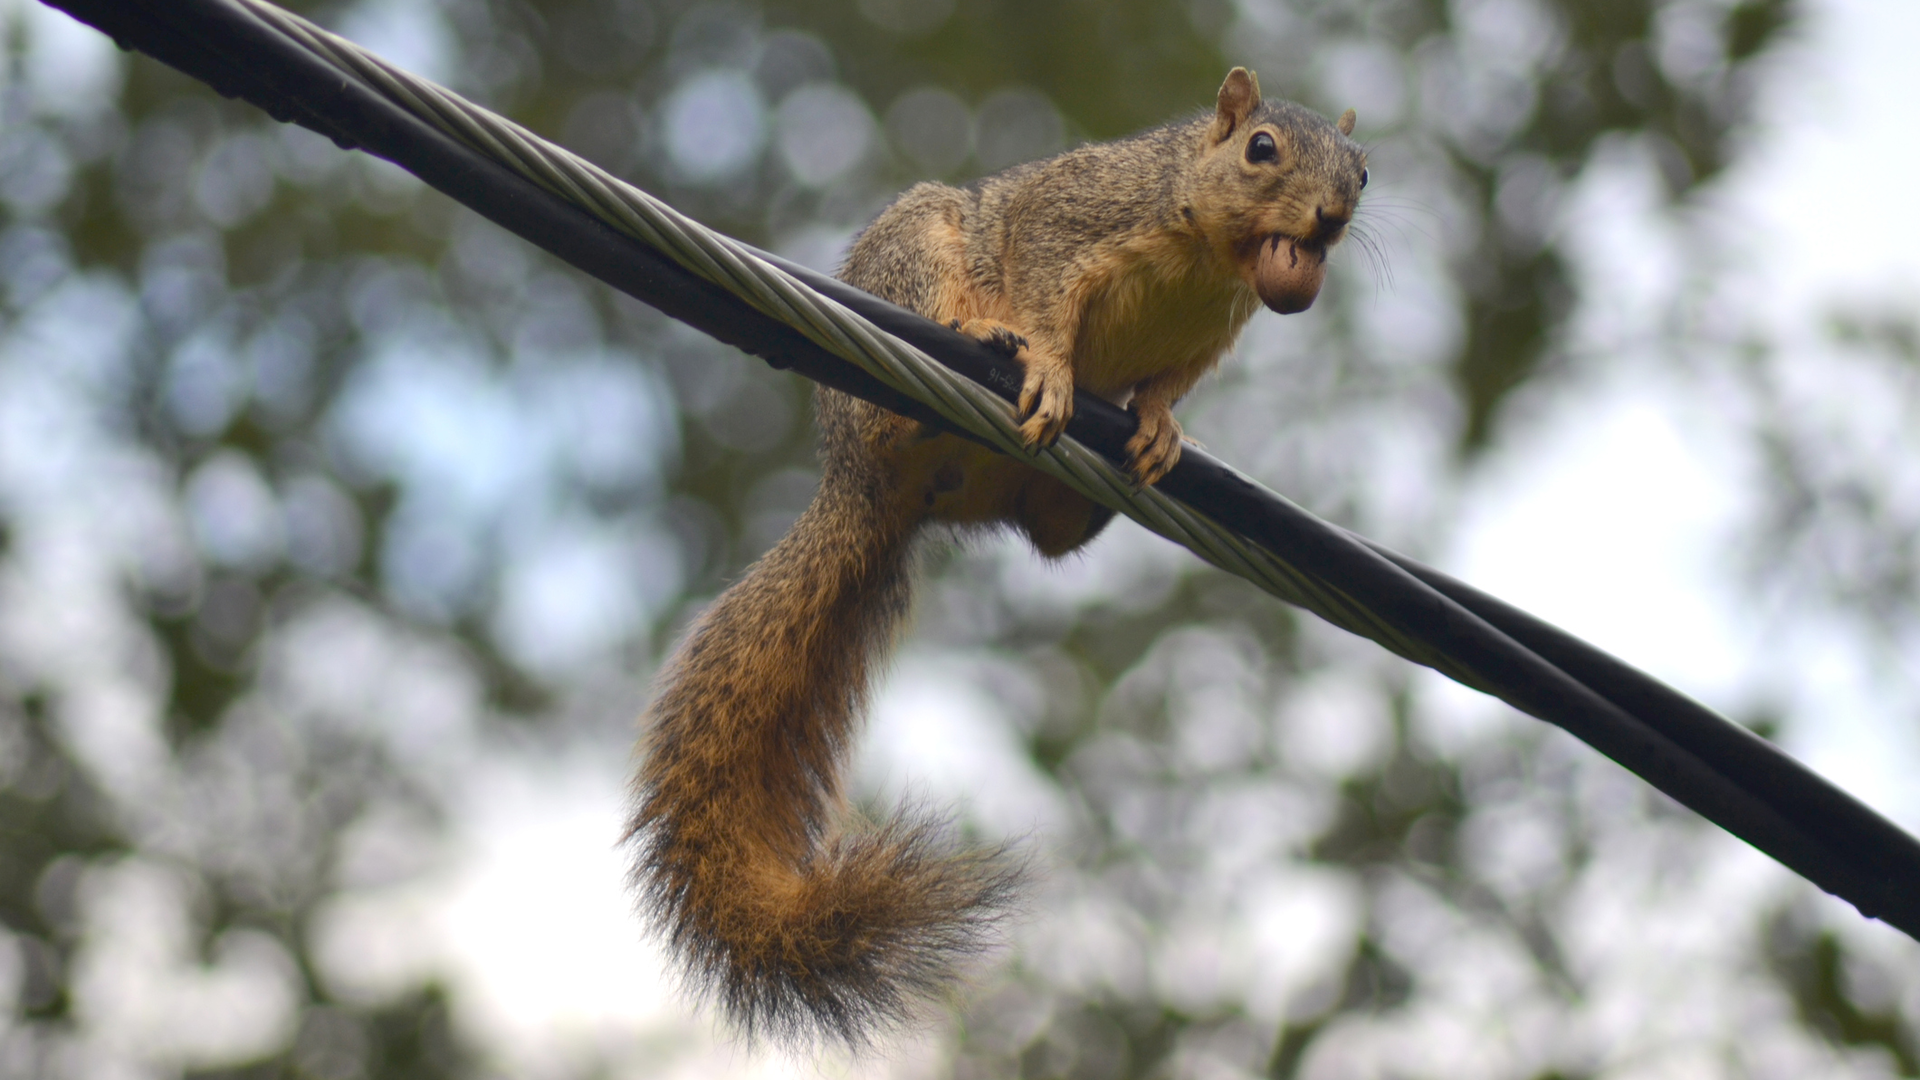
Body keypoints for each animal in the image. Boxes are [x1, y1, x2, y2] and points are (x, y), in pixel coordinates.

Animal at [625, 67, 1367, 1045]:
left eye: (1363, 170)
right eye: (1262, 149)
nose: (1328, 218)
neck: (1212, 256)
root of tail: (864, 486)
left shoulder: (1212, 333)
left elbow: (1168, 385)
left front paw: (1162, 425)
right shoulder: (1075, 216)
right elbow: (1049, 296)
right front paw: (1048, 363)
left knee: (1050, 534)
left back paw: (1087, 498)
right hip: (917, 258)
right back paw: (978, 344)